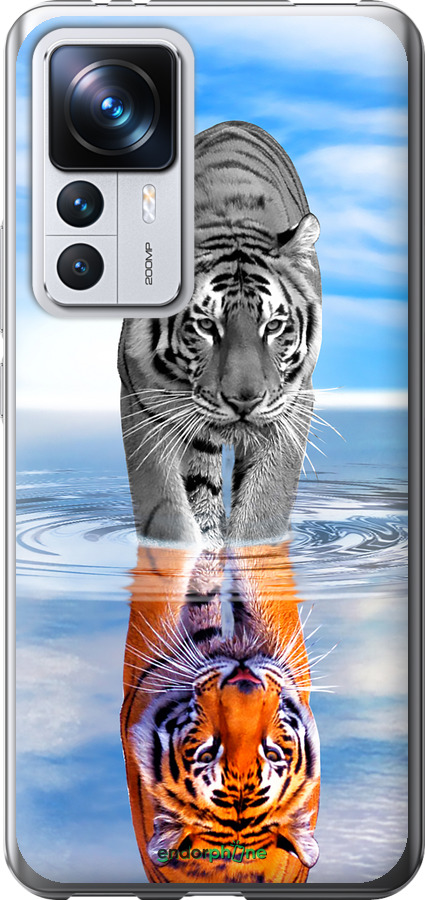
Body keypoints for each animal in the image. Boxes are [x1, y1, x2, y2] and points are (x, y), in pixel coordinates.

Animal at [118, 121, 321, 548]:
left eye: (273, 326)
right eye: (207, 325)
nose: (245, 401)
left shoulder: (293, 405)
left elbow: (263, 510)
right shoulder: (142, 403)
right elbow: (166, 511)